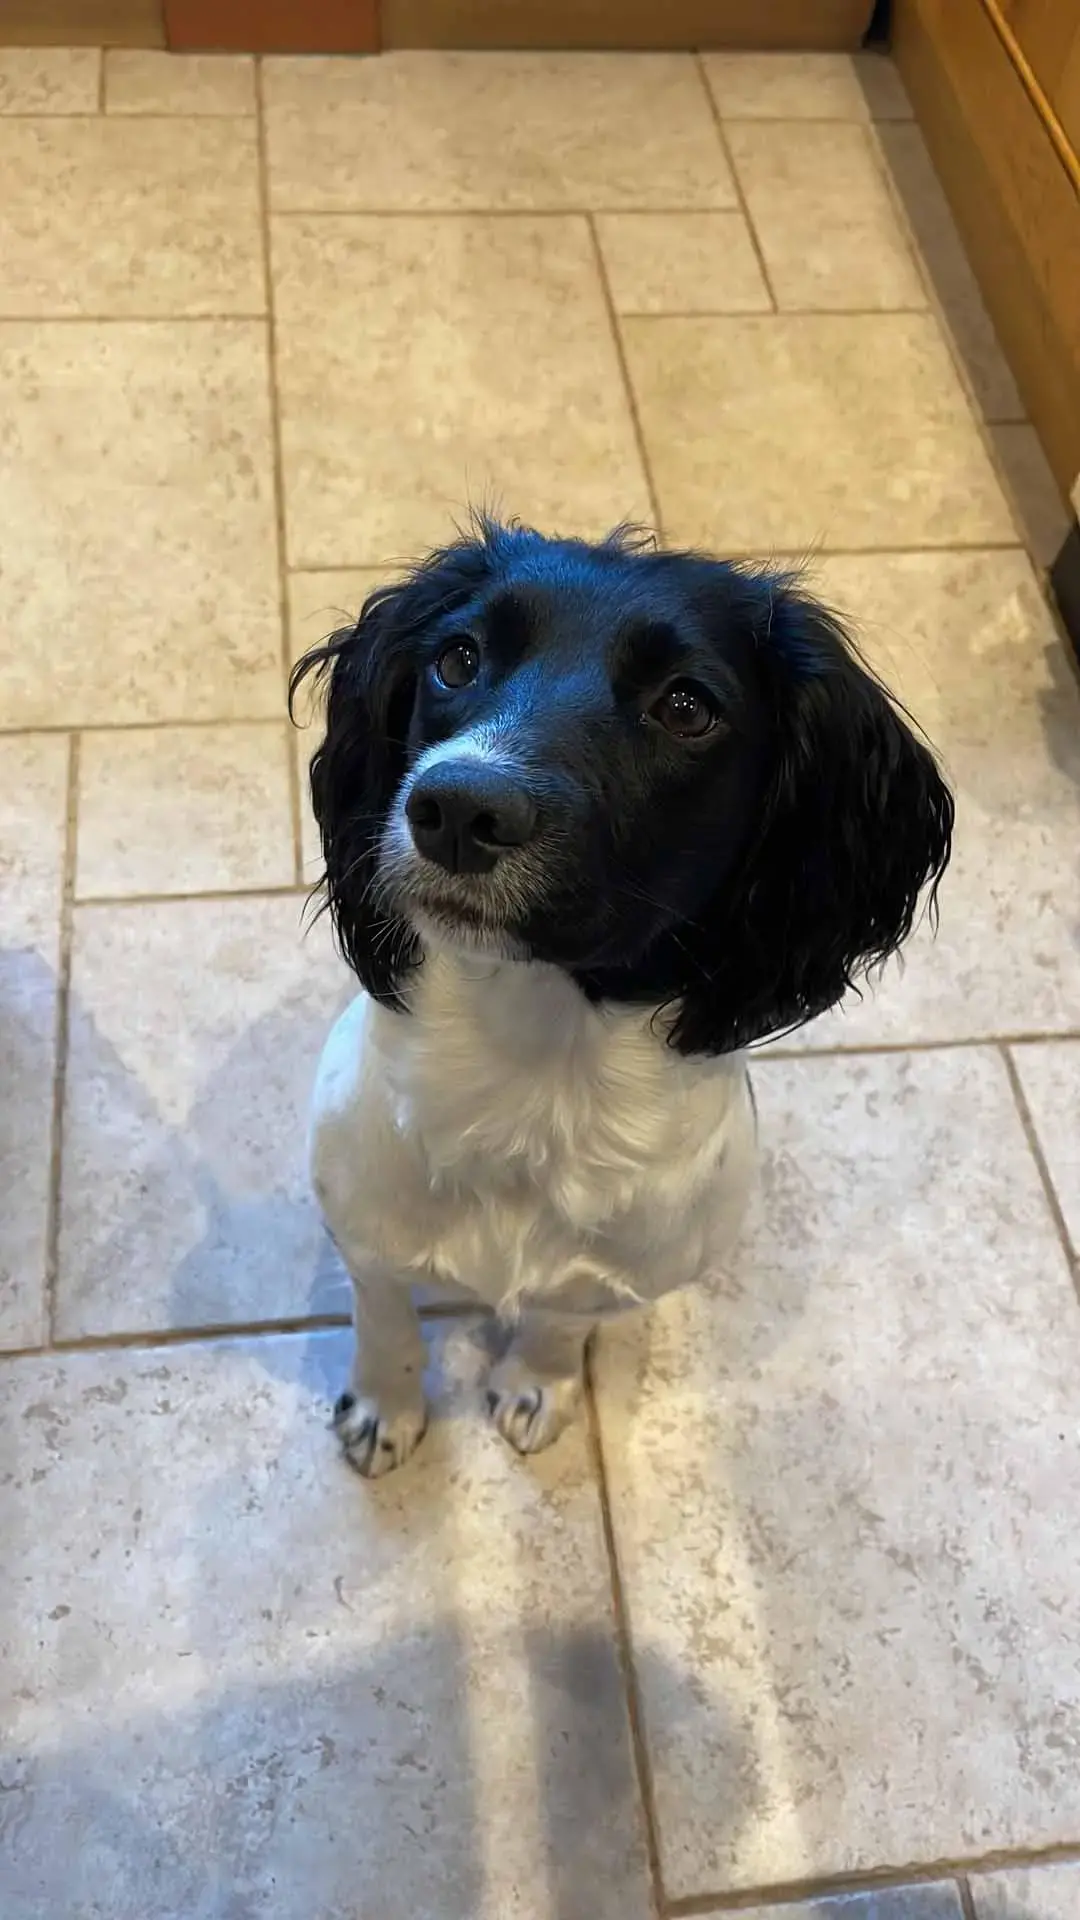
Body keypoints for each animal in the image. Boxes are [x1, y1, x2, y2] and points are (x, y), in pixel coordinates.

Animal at [292, 518, 949, 1474]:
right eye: (458, 658)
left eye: (685, 707)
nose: (455, 807)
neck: (531, 1062)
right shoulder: (363, 1229)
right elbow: (382, 1318)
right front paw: (384, 1406)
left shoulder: (623, 1274)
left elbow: (561, 1320)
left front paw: (536, 1383)